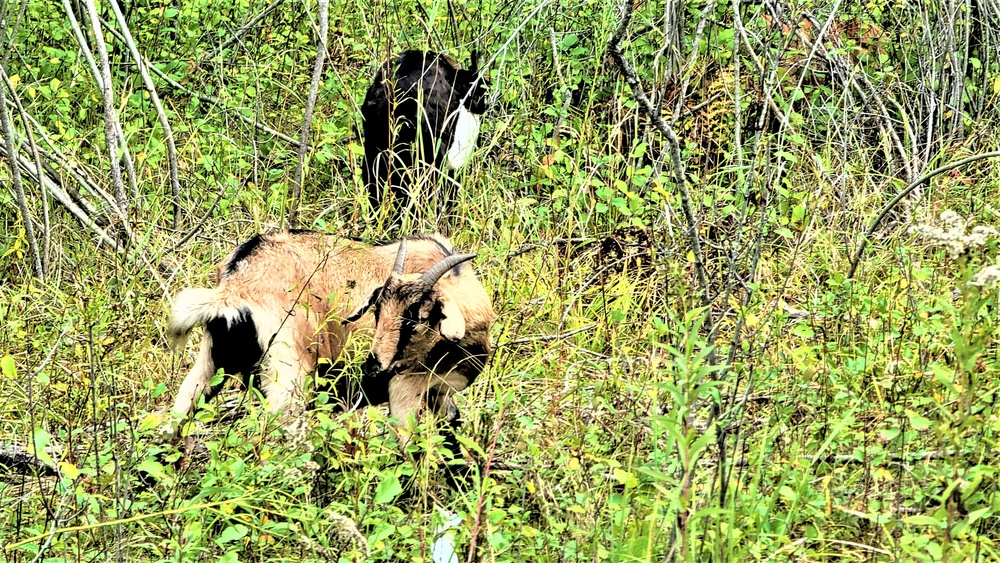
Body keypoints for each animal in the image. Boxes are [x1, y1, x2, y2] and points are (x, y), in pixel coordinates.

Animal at [164, 231, 496, 434]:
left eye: (413, 319)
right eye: (377, 311)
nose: (373, 366)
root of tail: (237, 283)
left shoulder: (440, 394)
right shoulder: (406, 388)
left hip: (212, 361)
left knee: (176, 418)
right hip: (290, 374)